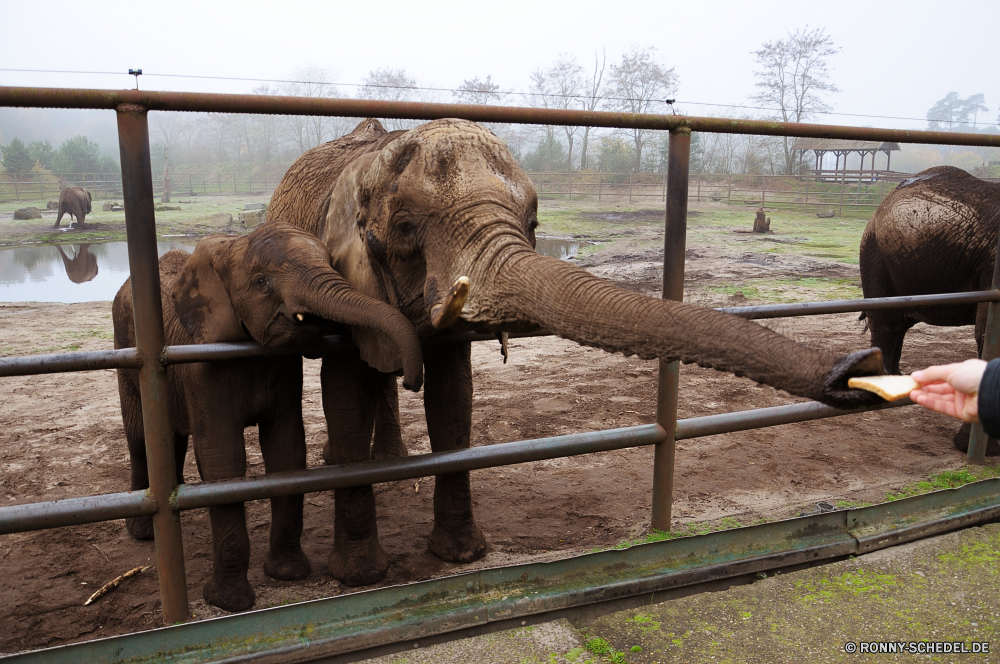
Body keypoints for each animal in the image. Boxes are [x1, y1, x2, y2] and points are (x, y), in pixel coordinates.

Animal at [115, 223, 424, 612]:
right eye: (262, 282)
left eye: (331, 262)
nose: (411, 380)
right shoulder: (202, 366)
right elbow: (223, 460)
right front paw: (229, 603)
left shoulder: (283, 367)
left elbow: (286, 449)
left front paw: (287, 574)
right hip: (126, 353)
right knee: (140, 438)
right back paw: (142, 533)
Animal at [266, 118, 884, 588]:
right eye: (404, 226)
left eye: (534, 222)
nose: (861, 368)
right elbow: (345, 394)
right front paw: (360, 578)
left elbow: (453, 402)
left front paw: (462, 556)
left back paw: (392, 459)